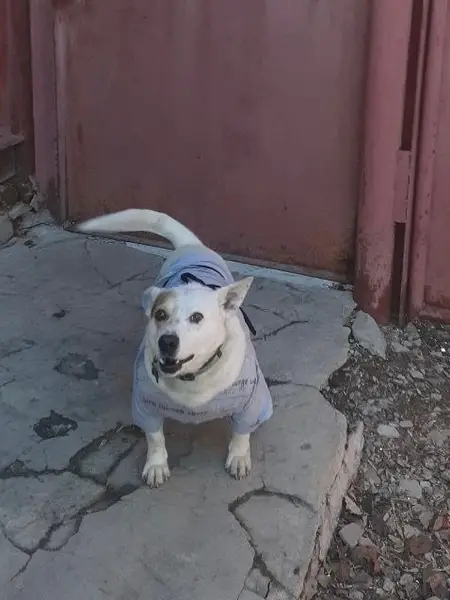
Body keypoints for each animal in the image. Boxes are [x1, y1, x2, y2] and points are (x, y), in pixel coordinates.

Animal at [78, 209, 273, 487]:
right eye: (160, 314)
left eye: (197, 317)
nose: (167, 341)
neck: (192, 378)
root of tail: (191, 246)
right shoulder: (145, 405)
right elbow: (155, 438)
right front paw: (156, 465)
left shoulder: (251, 403)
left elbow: (241, 433)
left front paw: (238, 457)